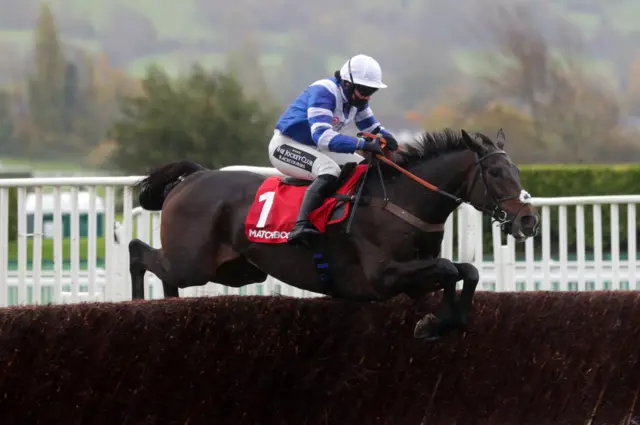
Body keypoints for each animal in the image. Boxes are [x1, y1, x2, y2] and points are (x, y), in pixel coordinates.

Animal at [127, 127, 536, 340]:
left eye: (516, 170)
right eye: (495, 173)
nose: (528, 220)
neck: (402, 201)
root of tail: (194, 176)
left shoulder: (415, 277)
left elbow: (467, 271)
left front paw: (445, 321)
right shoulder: (382, 277)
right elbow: (453, 270)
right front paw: (433, 323)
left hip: (236, 271)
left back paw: (169, 308)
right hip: (192, 262)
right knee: (138, 251)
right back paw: (139, 306)